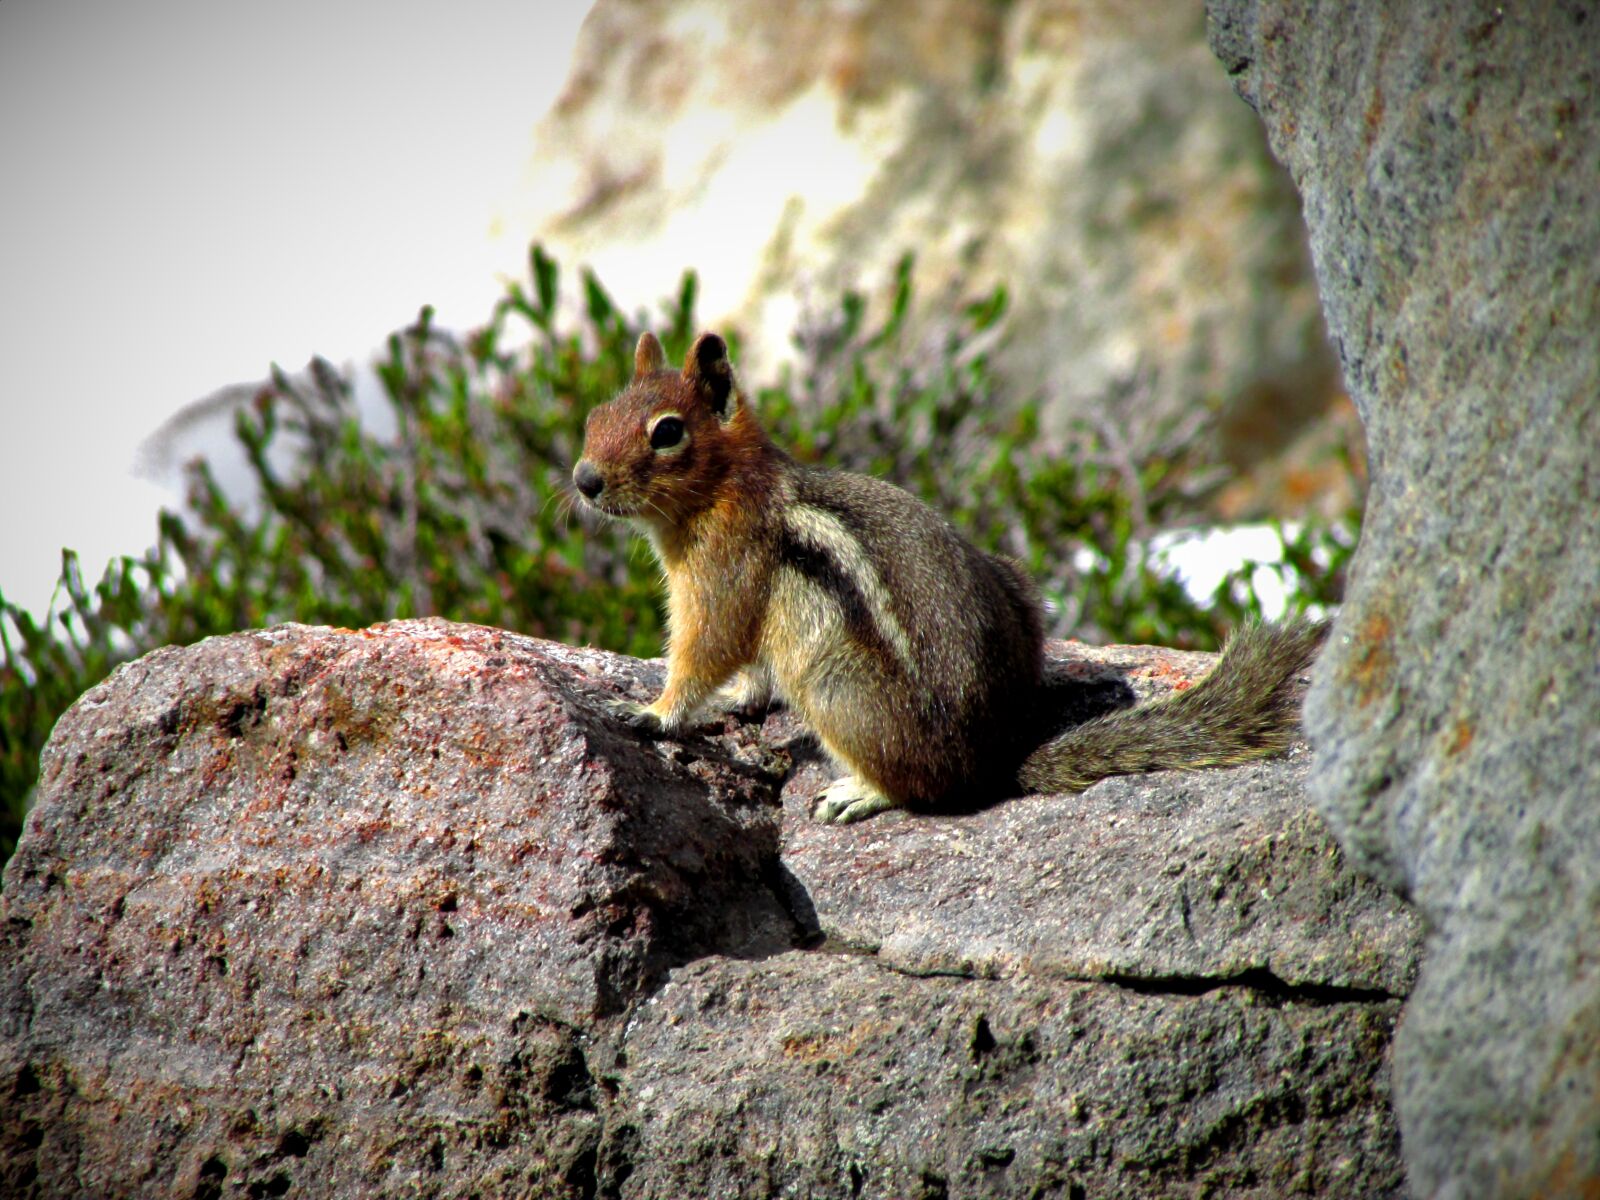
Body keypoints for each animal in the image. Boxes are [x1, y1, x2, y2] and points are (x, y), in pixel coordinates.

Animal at [576, 331, 1324, 825]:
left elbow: (704, 651)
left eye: (667, 432)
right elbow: (750, 669)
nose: (583, 480)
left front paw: (651, 711)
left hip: (834, 684)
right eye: (594, 416)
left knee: (920, 791)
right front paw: (737, 699)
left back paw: (855, 793)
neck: (729, 484)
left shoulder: (722, 575)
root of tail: (995, 761)